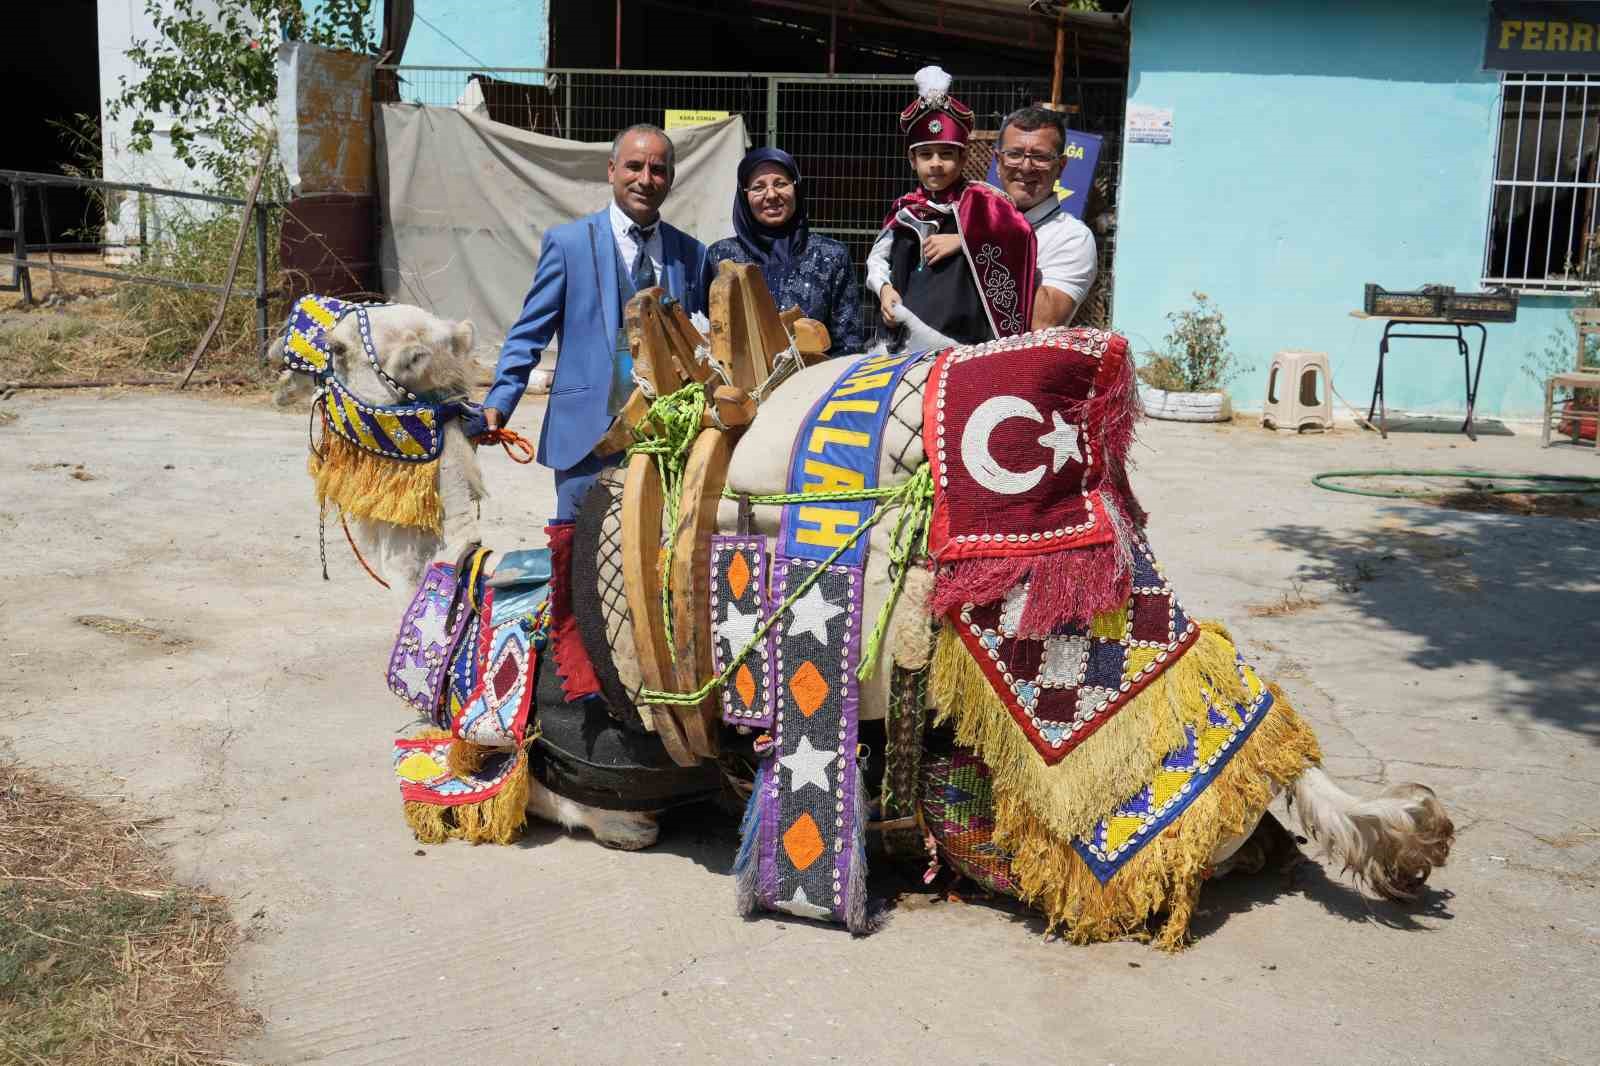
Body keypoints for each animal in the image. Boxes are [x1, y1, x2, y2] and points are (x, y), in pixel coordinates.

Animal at [278, 267, 1465, 947]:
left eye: (358, 339)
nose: (290, 335)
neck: (475, 573)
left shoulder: (563, 739)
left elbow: (534, 790)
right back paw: (1394, 832)